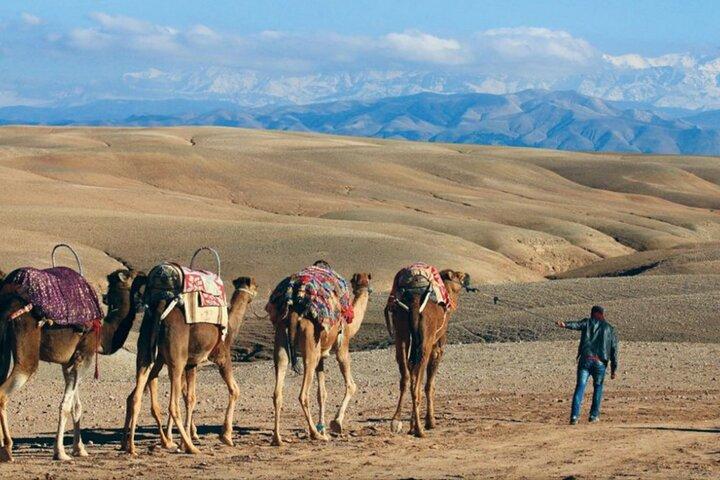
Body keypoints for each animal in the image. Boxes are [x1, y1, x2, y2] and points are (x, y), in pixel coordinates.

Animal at [0, 268, 146, 461]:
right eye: (131, 275)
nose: (143, 274)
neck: (103, 333)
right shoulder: (85, 356)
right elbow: (66, 406)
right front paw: (60, 452)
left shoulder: (69, 362)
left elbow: (77, 406)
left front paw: (80, 449)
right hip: (27, 352)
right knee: (4, 392)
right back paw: (7, 449)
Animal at [122, 276, 257, 455]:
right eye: (255, 286)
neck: (230, 326)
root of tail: (160, 309)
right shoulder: (222, 356)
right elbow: (234, 390)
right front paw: (225, 436)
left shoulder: (191, 364)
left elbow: (190, 398)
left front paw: (185, 438)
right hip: (175, 360)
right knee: (172, 405)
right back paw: (189, 448)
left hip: (147, 355)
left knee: (135, 397)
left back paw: (130, 446)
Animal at [270, 272, 372, 446]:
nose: (366, 288)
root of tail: (294, 313)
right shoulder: (342, 348)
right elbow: (351, 385)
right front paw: (336, 423)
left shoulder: (321, 357)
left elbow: (322, 394)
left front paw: (324, 427)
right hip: (310, 347)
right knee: (303, 394)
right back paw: (315, 434)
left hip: (282, 337)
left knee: (278, 389)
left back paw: (278, 439)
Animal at [386, 269, 469, 438]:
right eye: (458, 275)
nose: (467, 276)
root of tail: (415, 304)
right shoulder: (437, 345)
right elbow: (430, 384)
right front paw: (430, 422)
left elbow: (412, 374)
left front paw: (411, 425)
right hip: (426, 341)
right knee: (417, 383)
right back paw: (420, 429)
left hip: (401, 333)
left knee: (406, 377)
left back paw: (397, 421)